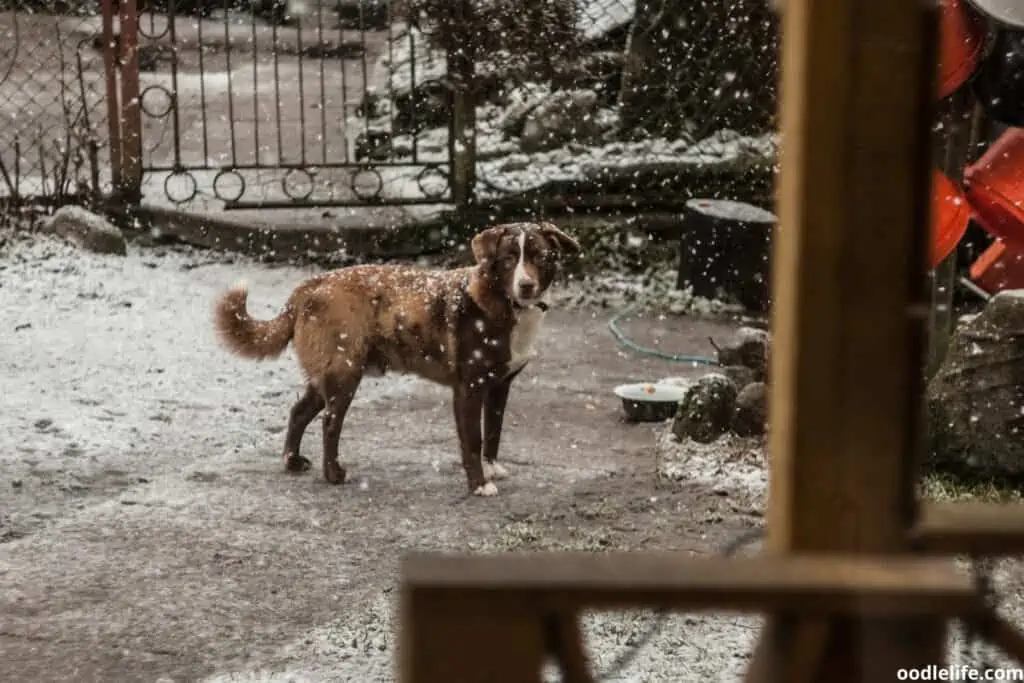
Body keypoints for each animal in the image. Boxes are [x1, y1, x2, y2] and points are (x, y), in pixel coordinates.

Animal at [211, 224, 581, 497]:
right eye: (508, 259)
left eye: (540, 256)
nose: (526, 285)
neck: (502, 303)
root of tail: (309, 287)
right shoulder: (469, 389)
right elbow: (473, 441)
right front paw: (479, 485)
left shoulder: (500, 387)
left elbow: (493, 433)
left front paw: (491, 470)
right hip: (345, 374)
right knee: (330, 423)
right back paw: (334, 474)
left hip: (327, 373)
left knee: (298, 412)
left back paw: (292, 461)